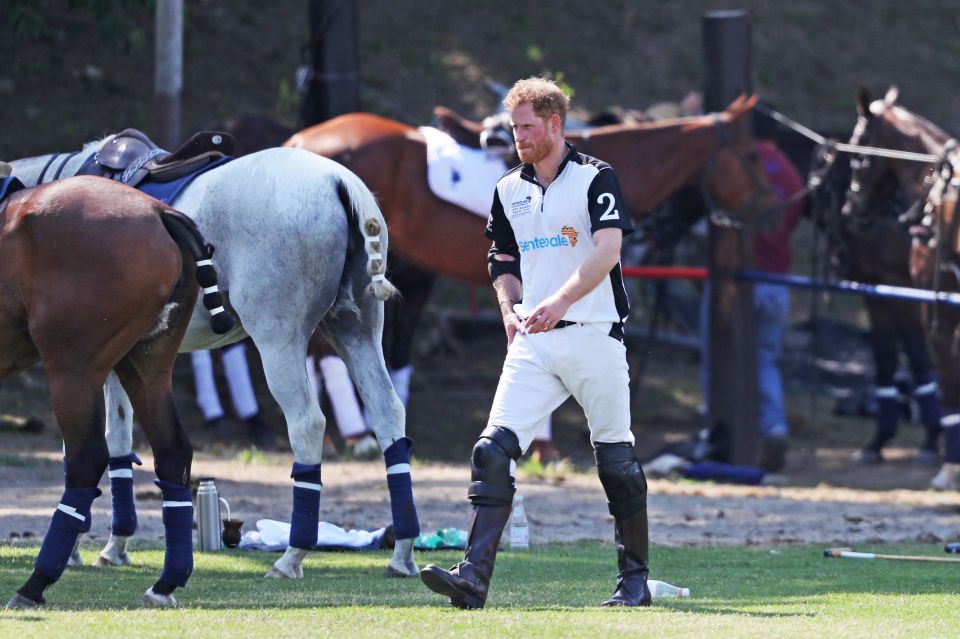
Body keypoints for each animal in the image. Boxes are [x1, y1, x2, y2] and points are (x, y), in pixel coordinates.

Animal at [2, 175, 234, 608]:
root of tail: (160, 211)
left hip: (74, 370)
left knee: (87, 459)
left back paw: (36, 583)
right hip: (147, 366)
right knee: (173, 452)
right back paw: (165, 583)